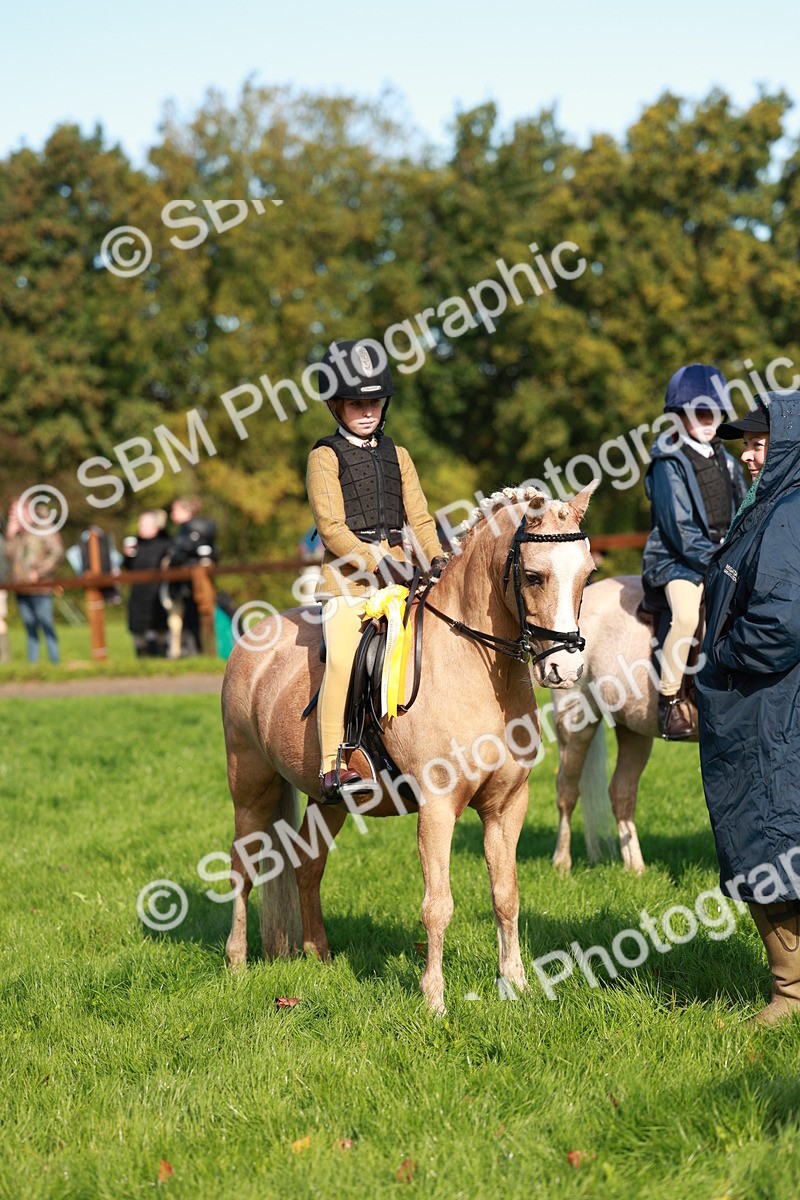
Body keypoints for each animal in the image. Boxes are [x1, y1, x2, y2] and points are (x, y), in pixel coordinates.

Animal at [220, 483, 597, 1014]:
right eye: (533, 575)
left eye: (588, 574)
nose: (565, 670)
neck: (476, 669)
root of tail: (251, 641)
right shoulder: (437, 808)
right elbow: (437, 905)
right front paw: (434, 1000)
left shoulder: (507, 806)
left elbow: (506, 895)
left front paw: (517, 986)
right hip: (250, 786)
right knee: (242, 867)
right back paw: (236, 962)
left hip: (328, 798)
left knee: (308, 867)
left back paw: (321, 957)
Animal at [550, 573, 699, 876]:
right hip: (575, 725)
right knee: (567, 791)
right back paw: (561, 864)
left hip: (633, 730)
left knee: (621, 793)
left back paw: (635, 869)